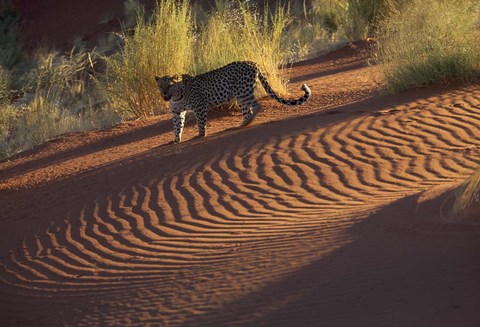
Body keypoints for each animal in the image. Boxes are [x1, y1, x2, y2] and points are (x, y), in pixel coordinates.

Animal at [154, 61, 312, 144]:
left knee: (256, 106)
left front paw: (200, 135)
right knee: (249, 110)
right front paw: (176, 139)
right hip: (241, 95)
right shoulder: (177, 112)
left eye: (169, 85)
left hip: (242, 93)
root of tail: (252, 62)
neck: (177, 96)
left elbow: (200, 123)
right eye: (160, 86)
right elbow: (177, 126)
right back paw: (243, 124)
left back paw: (246, 122)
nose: (164, 94)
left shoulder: (200, 107)